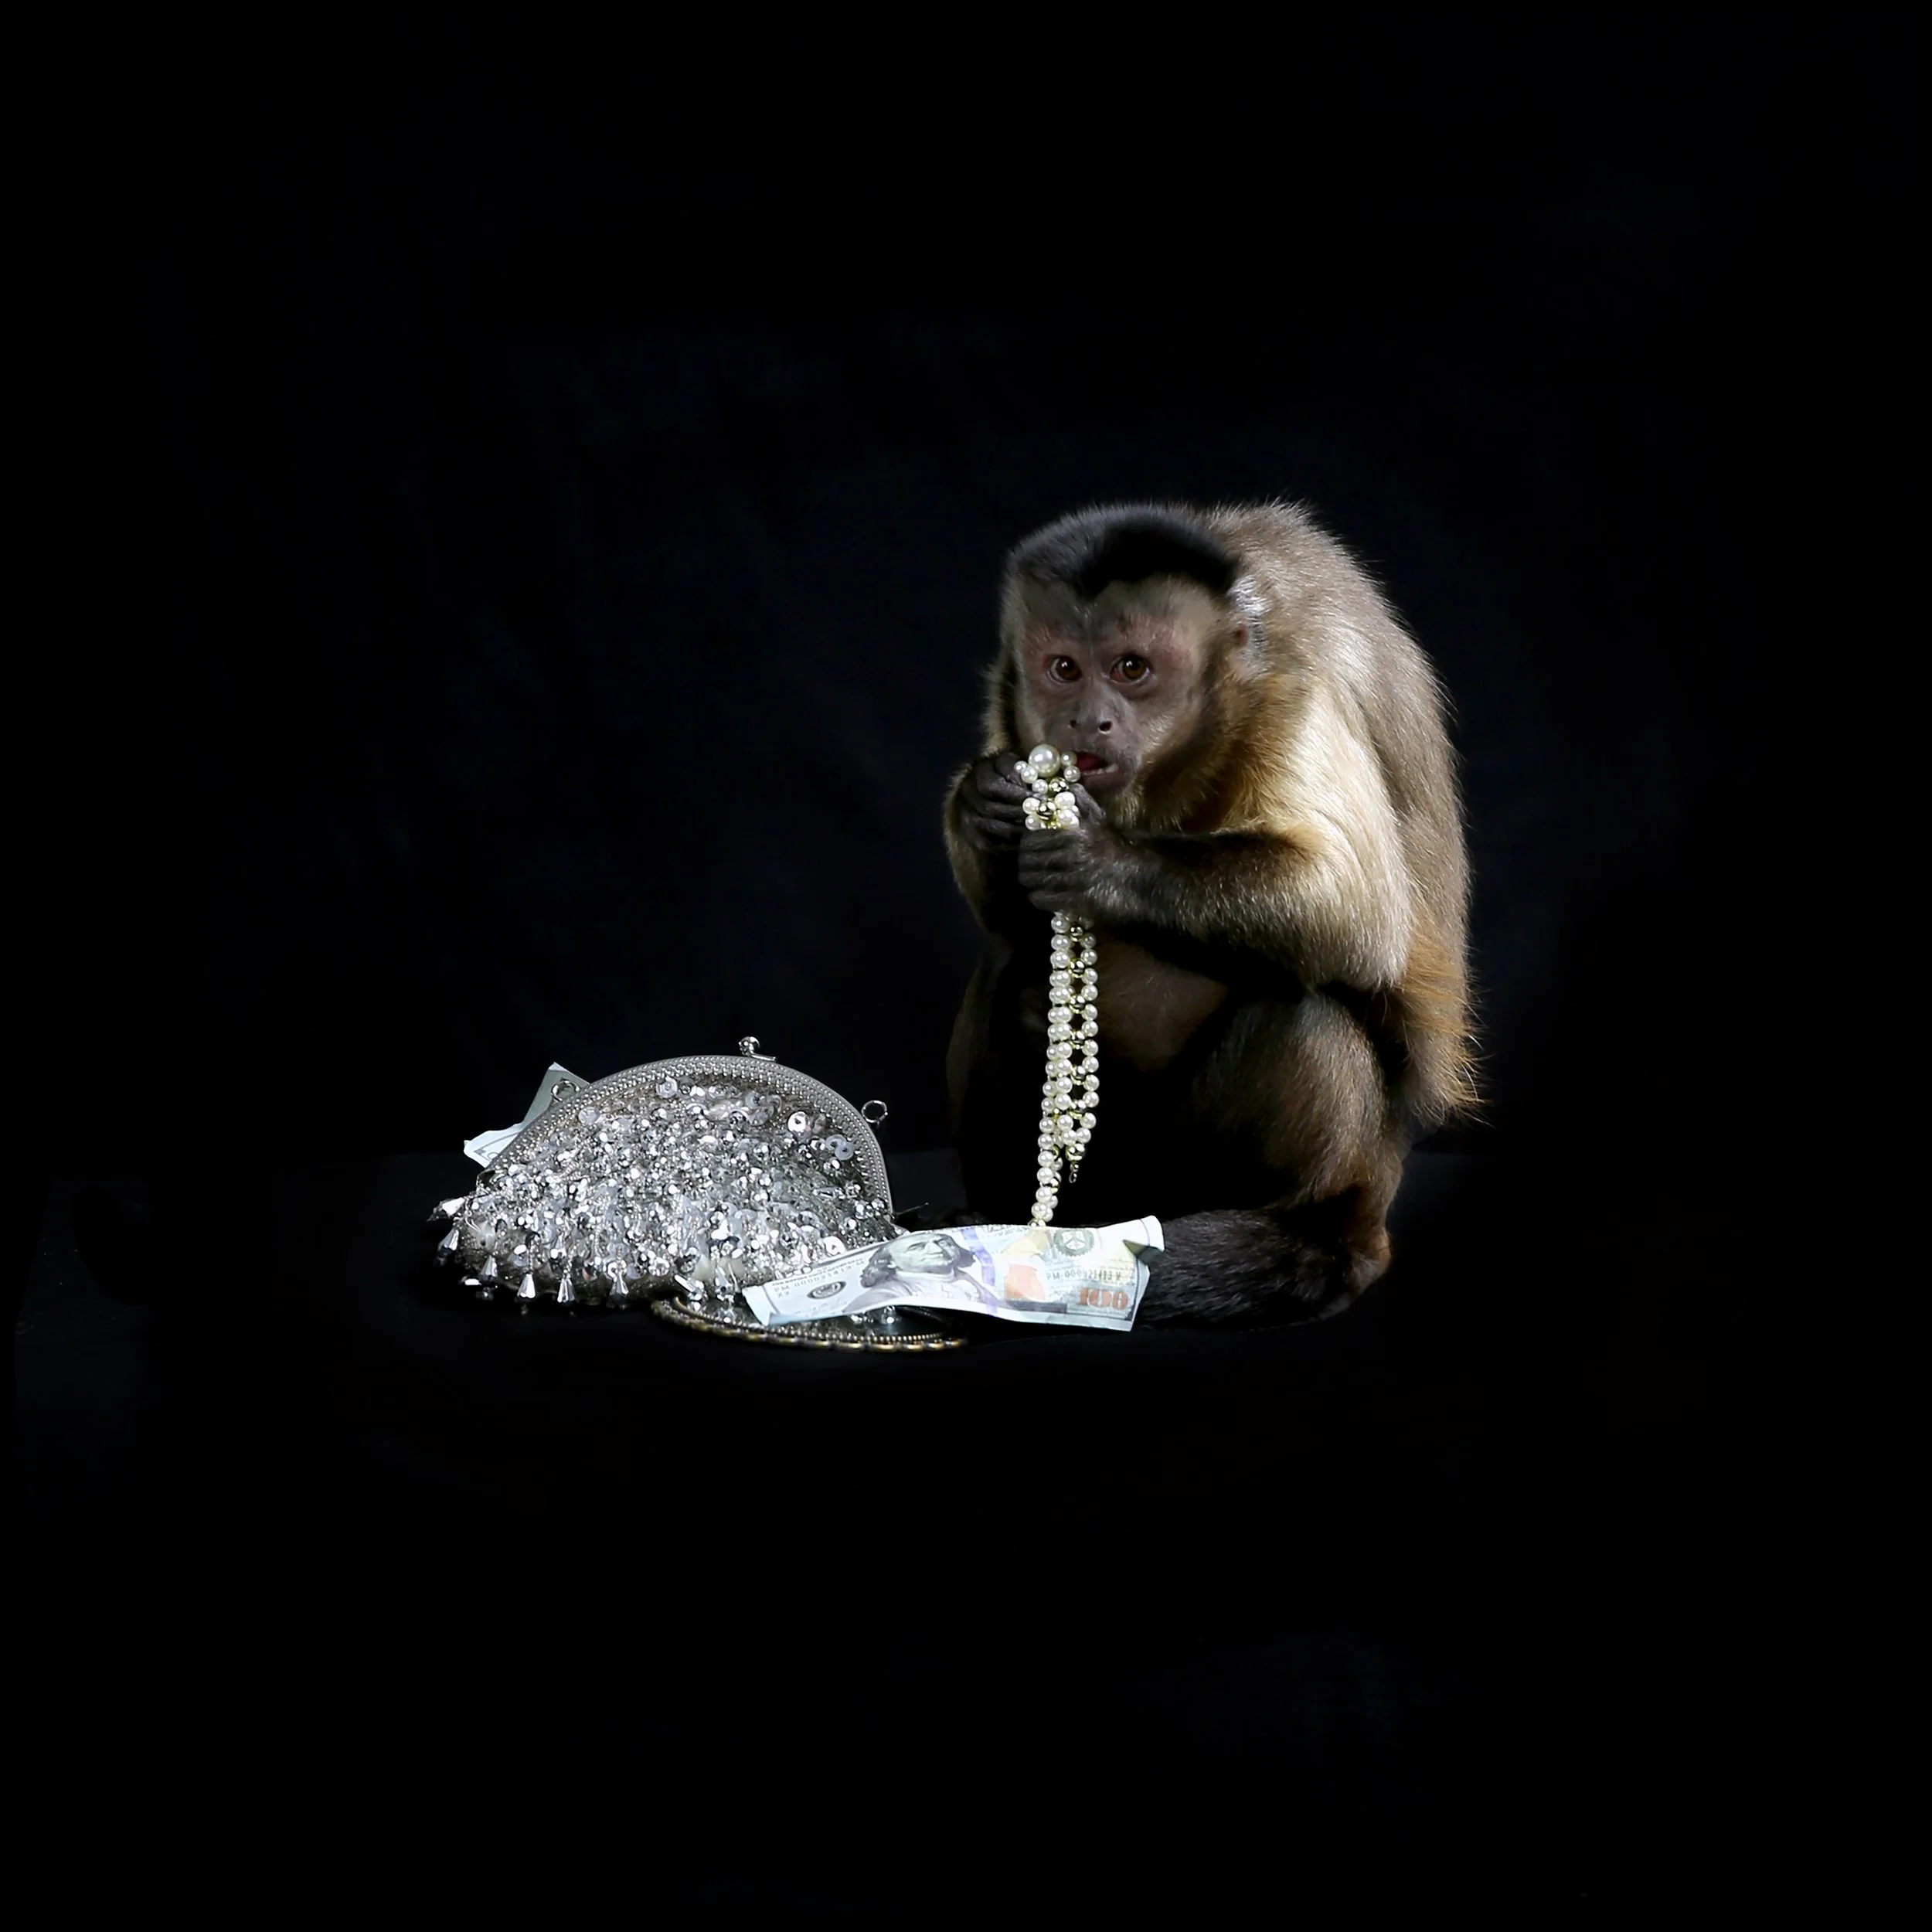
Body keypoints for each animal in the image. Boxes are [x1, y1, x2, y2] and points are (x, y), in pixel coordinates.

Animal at [942, 501, 1474, 1327]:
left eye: (1132, 670)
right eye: (1064, 670)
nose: (1087, 721)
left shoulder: (1297, 690)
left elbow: (1348, 907)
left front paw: (1103, 860)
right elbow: (1008, 917)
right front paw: (981, 804)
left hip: (1217, 1175)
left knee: (1304, 1014)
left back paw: (1302, 1243)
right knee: (1014, 965)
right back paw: (1001, 1220)